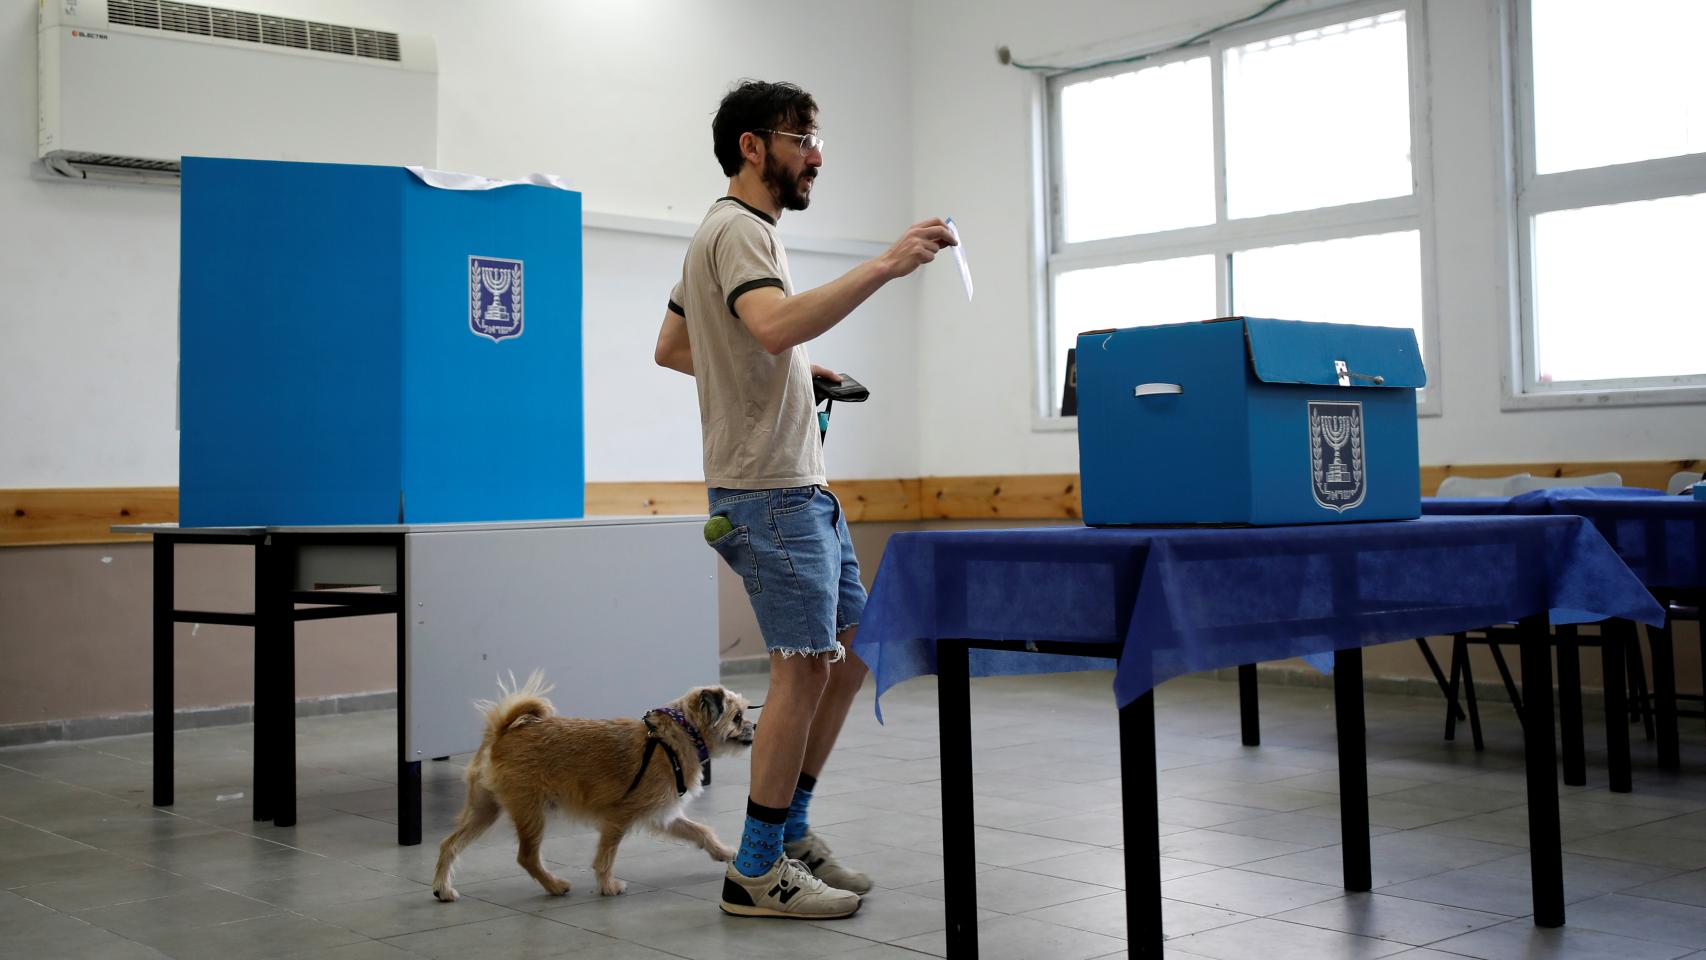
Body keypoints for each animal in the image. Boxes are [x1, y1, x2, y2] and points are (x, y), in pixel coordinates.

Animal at [429, 671, 750, 907]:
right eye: (736, 717)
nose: (753, 726)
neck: (677, 736)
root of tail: (502, 733)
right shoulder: (618, 818)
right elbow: (606, 854)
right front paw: (607, 885)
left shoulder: (665, 815)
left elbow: (700, 831)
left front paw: (723, 851)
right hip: (531, 813)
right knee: (527, 857)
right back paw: (554, 885)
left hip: (485, 810)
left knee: (449, 844)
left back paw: (442, 888)